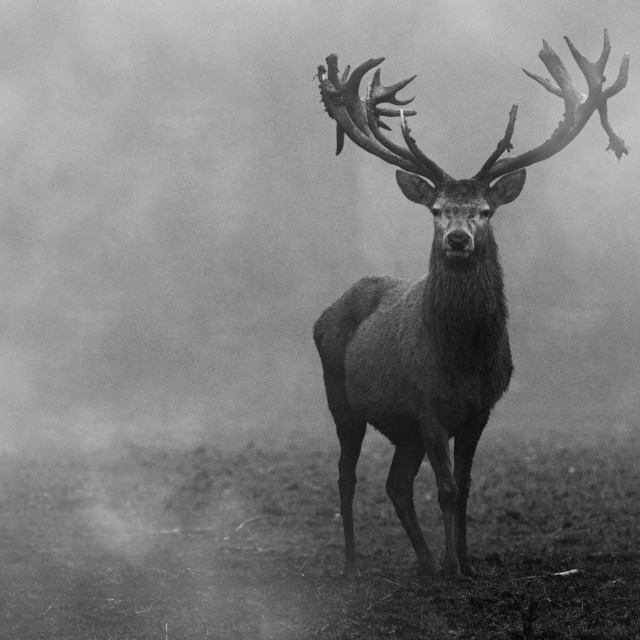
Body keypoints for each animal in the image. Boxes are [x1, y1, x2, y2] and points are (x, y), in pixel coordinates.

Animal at [312, 31, 628, 580]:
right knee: (346, 477)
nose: (457, 238)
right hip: (342, 398)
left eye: (484, 211)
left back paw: (423, 563)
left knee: (395, 484)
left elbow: (465, 490)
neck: (462, 359)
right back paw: (352, 566)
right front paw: (452, 569)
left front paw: (465, 564)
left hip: (403, 429)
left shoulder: (479, 409)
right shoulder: (426, 402)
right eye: (437, 211)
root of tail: (322, 315)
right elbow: (445, 488)